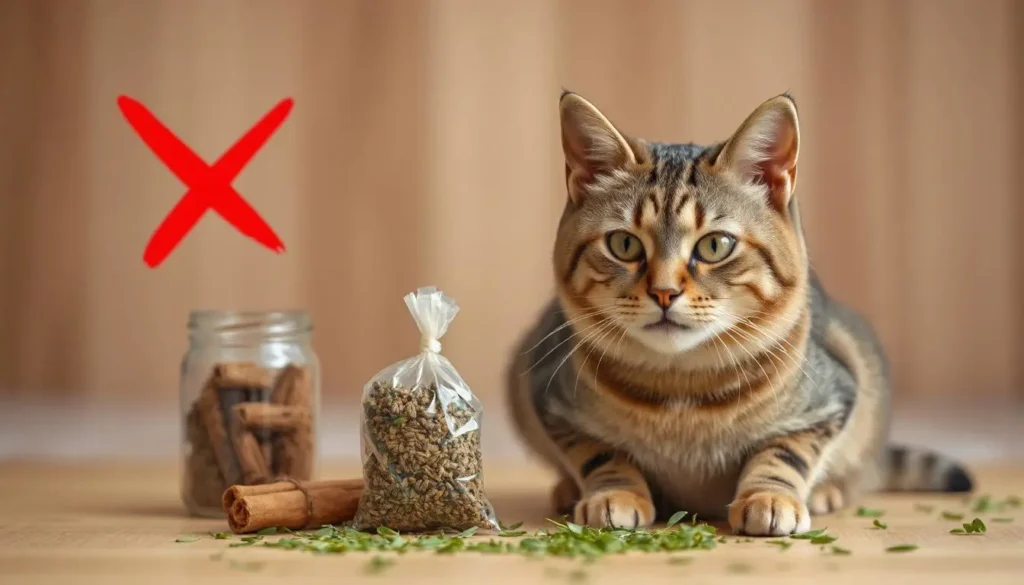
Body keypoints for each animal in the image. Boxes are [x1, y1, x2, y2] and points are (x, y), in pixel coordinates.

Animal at [507, 90, 970, 536]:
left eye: (715, 245)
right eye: (624, 244)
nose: (664, 291)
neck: (680, 391)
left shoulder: (835, 397)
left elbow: (784, 451)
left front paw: (770, 497)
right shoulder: (547, 395)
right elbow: (600, 453)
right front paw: (615, 494)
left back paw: (826, 492)